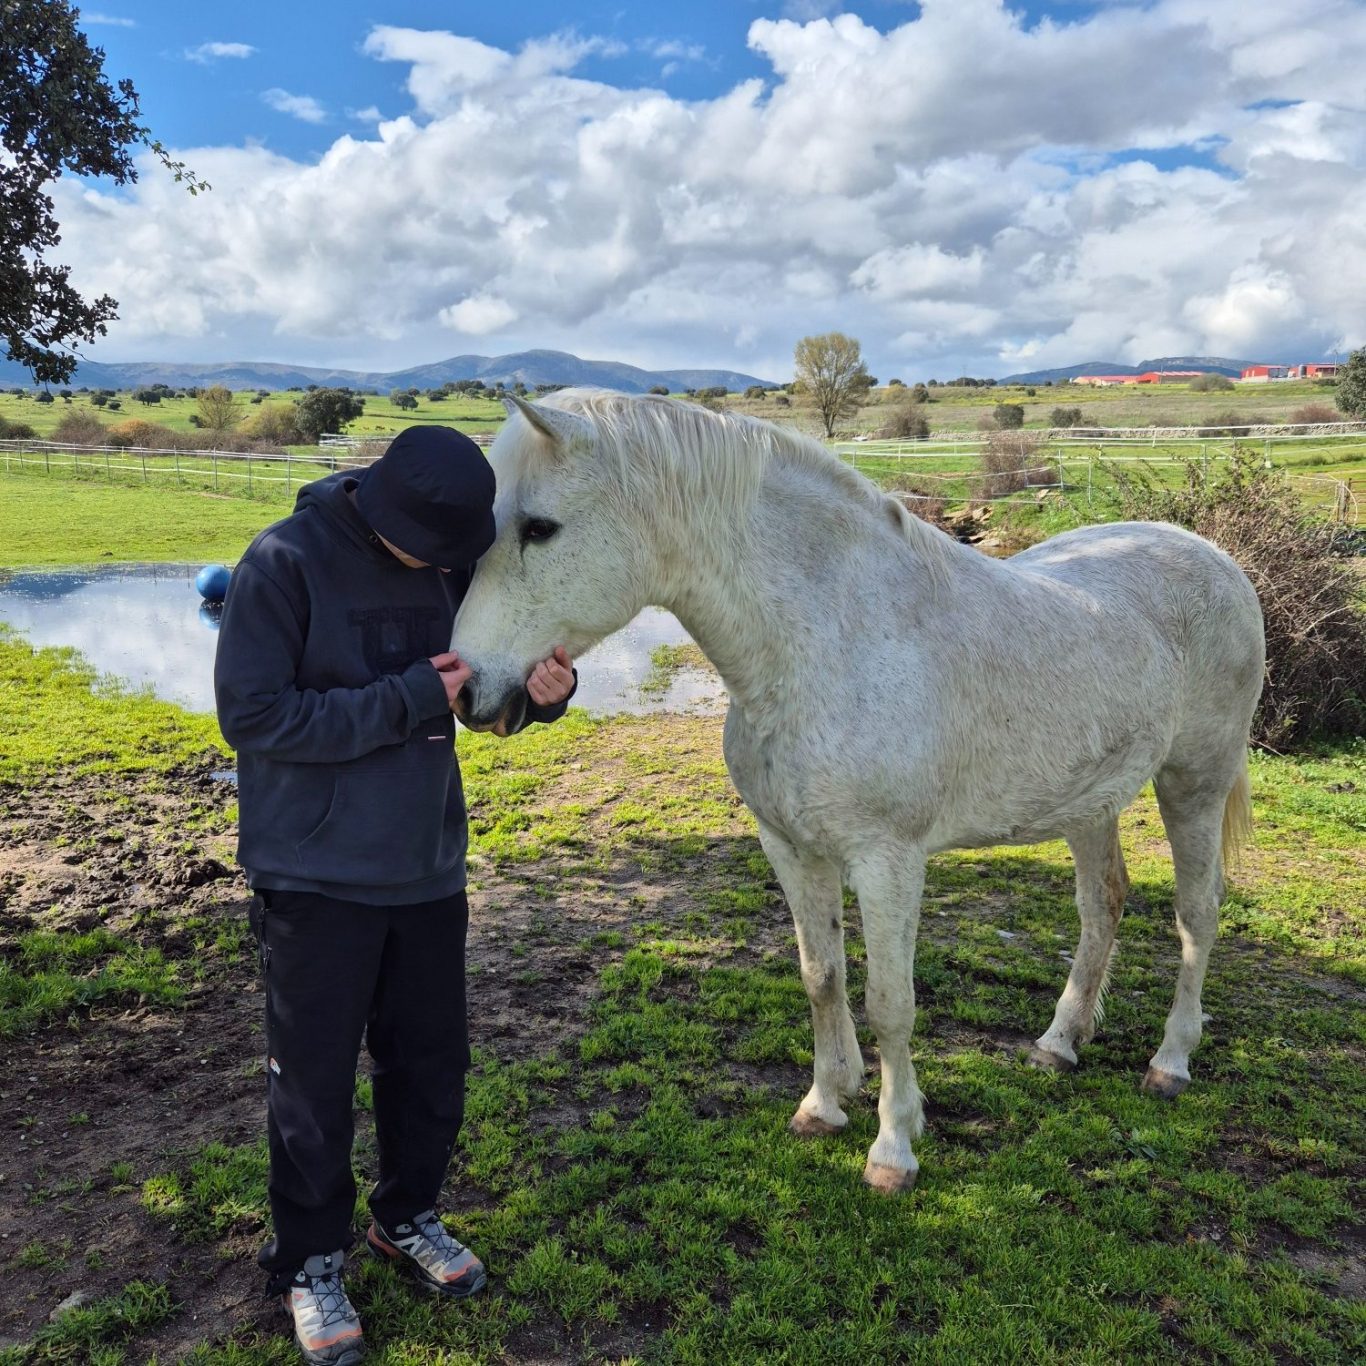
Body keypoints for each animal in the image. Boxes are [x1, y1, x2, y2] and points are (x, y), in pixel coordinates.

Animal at [451, 389, 1265, 1193]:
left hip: (1193, 782)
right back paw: (1059, 1042)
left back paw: (1170, 1061)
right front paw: (824, 1103)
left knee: (1197, 914)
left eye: (539, 528)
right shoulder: (790, 846)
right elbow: (822, 977)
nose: (464, 687)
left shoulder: (887, 860)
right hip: (1089, 803)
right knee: (1103, 905)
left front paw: (893, 1148)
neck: (830, 638)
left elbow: (890, 1005)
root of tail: (1216, 558)